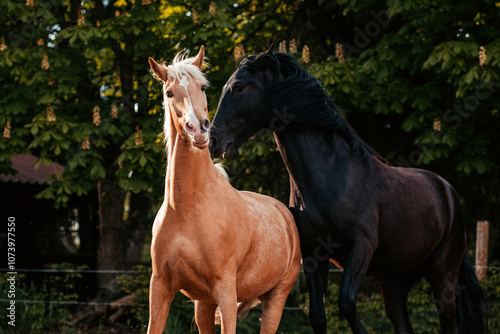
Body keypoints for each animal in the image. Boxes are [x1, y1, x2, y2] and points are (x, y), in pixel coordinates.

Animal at [146, 47, 300, 334]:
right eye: (169, 93)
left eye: (203, 87)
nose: (199, 129)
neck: (187, 209)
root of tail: (285, 213)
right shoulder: (160, 286)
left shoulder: (226, 290)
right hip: (203, 304)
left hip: (276, 298)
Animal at [209, 45, 490, 334]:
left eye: (239, 87)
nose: (213, 141)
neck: (333, 176)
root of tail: (447, 192)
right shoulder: (314, 255)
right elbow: (317, 314)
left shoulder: (361, 246)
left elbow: (346, 302)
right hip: (394, 281)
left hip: (442, 276)